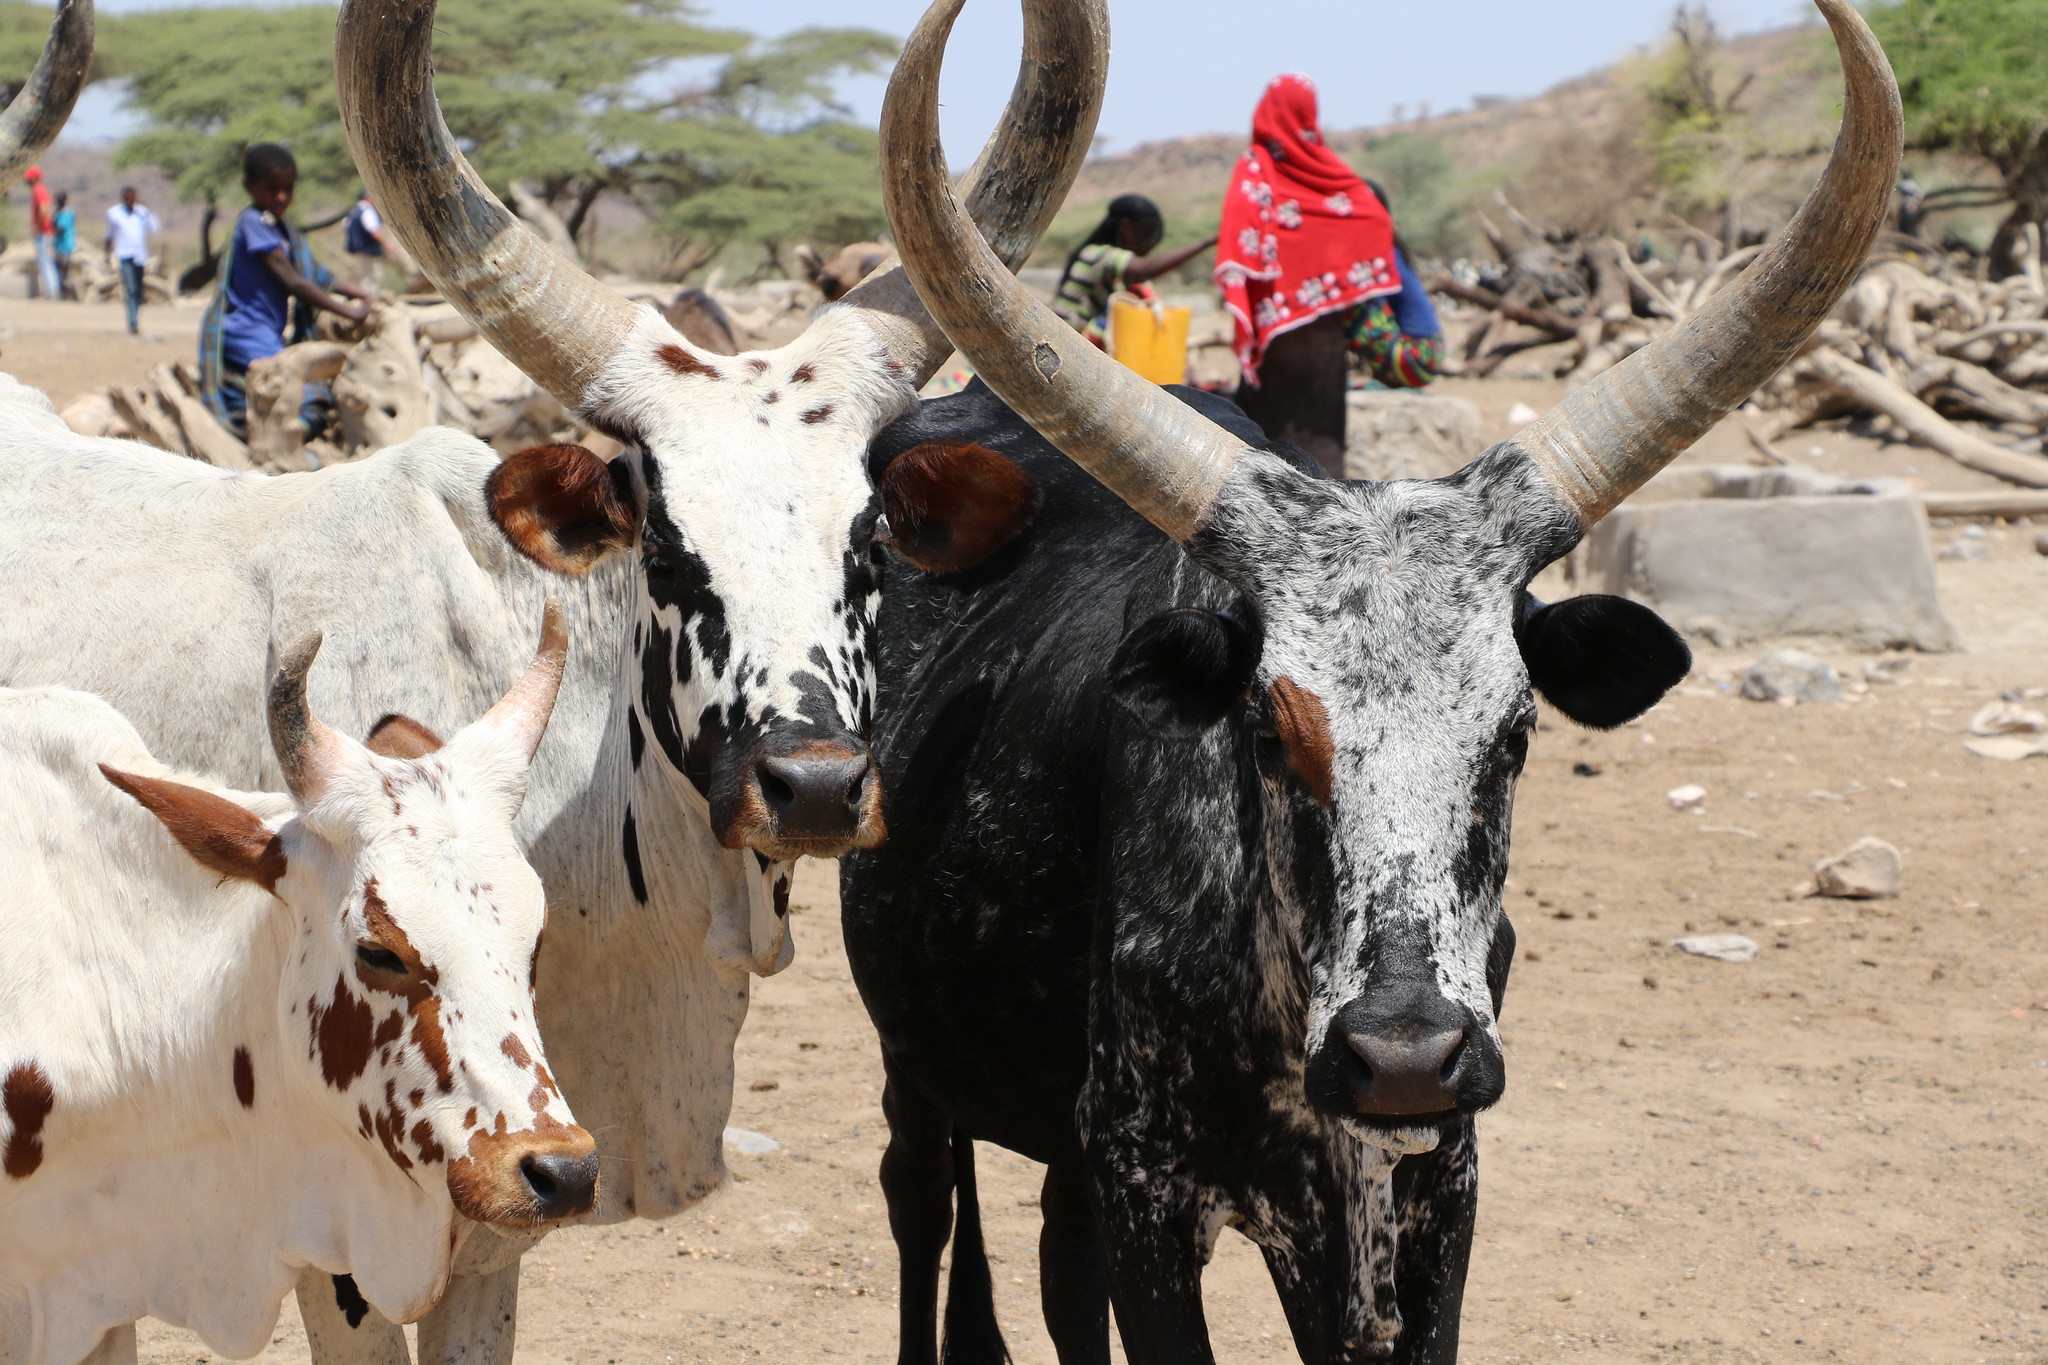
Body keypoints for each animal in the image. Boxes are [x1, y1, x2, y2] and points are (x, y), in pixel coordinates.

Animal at [839, 2, 1892, 1365]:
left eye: (1514, 736)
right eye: (1262, 732)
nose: (1402, 1054)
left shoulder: (1426, 1187)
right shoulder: (1149, 1189)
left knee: (1054, 1265)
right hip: (913, 1066)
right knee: (921, 1211)